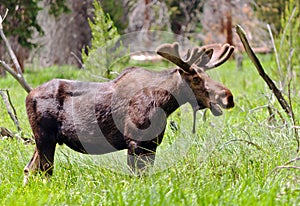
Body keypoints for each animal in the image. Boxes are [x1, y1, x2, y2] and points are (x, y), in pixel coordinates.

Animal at [22, 41, 234, 183]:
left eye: (206, 74)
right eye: (196, 78)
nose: (228, 96)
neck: (164, 104)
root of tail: (28, 95)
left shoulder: (151, 145)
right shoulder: (135, 143)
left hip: (44, 141)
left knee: (28, 169)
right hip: (44, 138)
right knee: (43, 172)